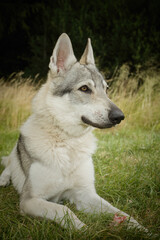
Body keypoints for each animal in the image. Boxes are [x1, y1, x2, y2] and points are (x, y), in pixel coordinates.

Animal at [0, 33, 145, 231]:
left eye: (106, 89)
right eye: (84, 88)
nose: (120, 117)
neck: (68, 142)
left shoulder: (85, 194)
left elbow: (121, 213)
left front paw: (142, 230)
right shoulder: (29, 200)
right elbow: (63, 210)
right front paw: (85, 230)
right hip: (14, 156)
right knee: (8, 165)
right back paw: (4, 179)